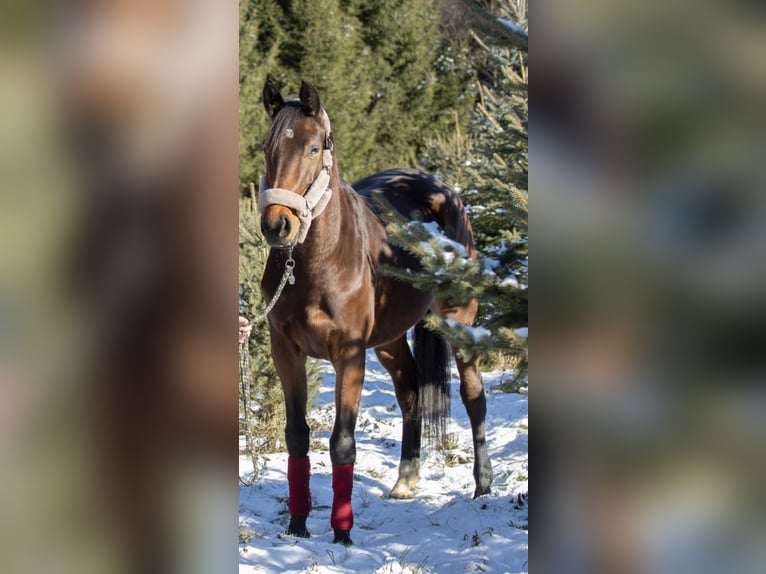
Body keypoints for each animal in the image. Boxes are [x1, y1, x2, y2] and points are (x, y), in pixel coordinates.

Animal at [258, 79, 492, 548]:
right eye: (266, 148)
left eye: (314, 147)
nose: (277, 226)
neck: (317, 261)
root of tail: (442, 189)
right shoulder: (286, 351)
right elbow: (297, 436)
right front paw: (297, 525)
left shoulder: (349, 355)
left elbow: (342, 443)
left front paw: (342, 534)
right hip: (389, 340)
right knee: (410, 393)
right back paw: (406, 480)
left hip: (459, 322)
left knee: (474, 396)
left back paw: (483, 487)